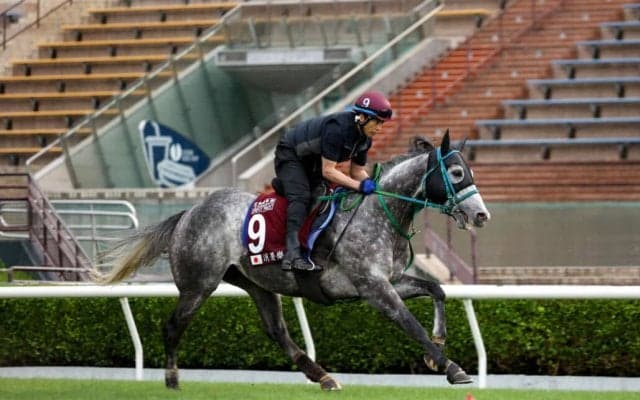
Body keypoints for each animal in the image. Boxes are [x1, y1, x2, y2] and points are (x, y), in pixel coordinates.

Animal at [94, 131, 491, 390]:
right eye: (457, 173)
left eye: (470, 172)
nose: (482, 215)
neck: (379, 212)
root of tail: (189, 212)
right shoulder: (373, 288)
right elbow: (411, 324)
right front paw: (451, 366)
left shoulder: (390, 281)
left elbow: (437, 290)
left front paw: (438, 348)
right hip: (198, 283)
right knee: (173, 325)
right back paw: (172, 379)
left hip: (255, 283)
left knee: (276, 331)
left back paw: (323, 376)